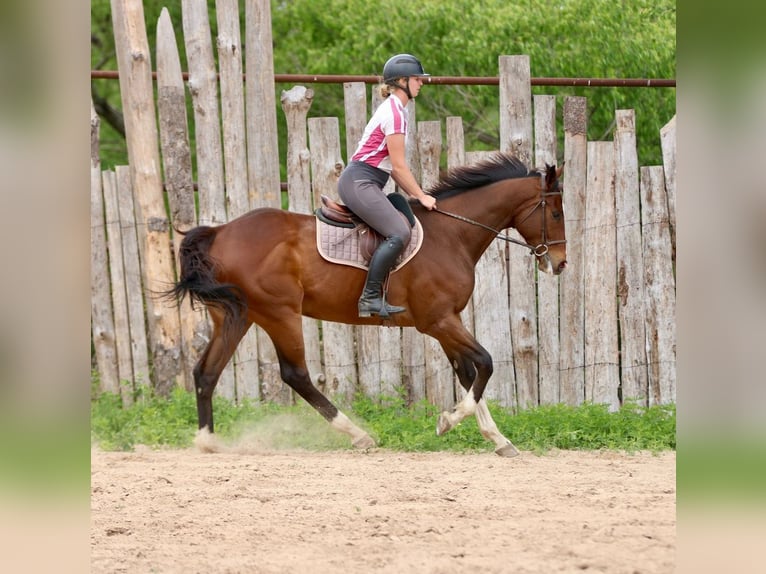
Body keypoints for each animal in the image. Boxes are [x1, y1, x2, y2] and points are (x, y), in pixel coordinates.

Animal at [163, 153, 567, 457]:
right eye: (556, 213)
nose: (560, 263)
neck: (452, 235)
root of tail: (220, 233)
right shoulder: (439, 321)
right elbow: (484, 364)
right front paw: (448, 420)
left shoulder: (445, 323)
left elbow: (469, 374)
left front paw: (498, 439)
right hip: (280, 314)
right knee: (295, 375)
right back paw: (359, 434)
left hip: (238, 316)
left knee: (206, 372)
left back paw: (208, 441)